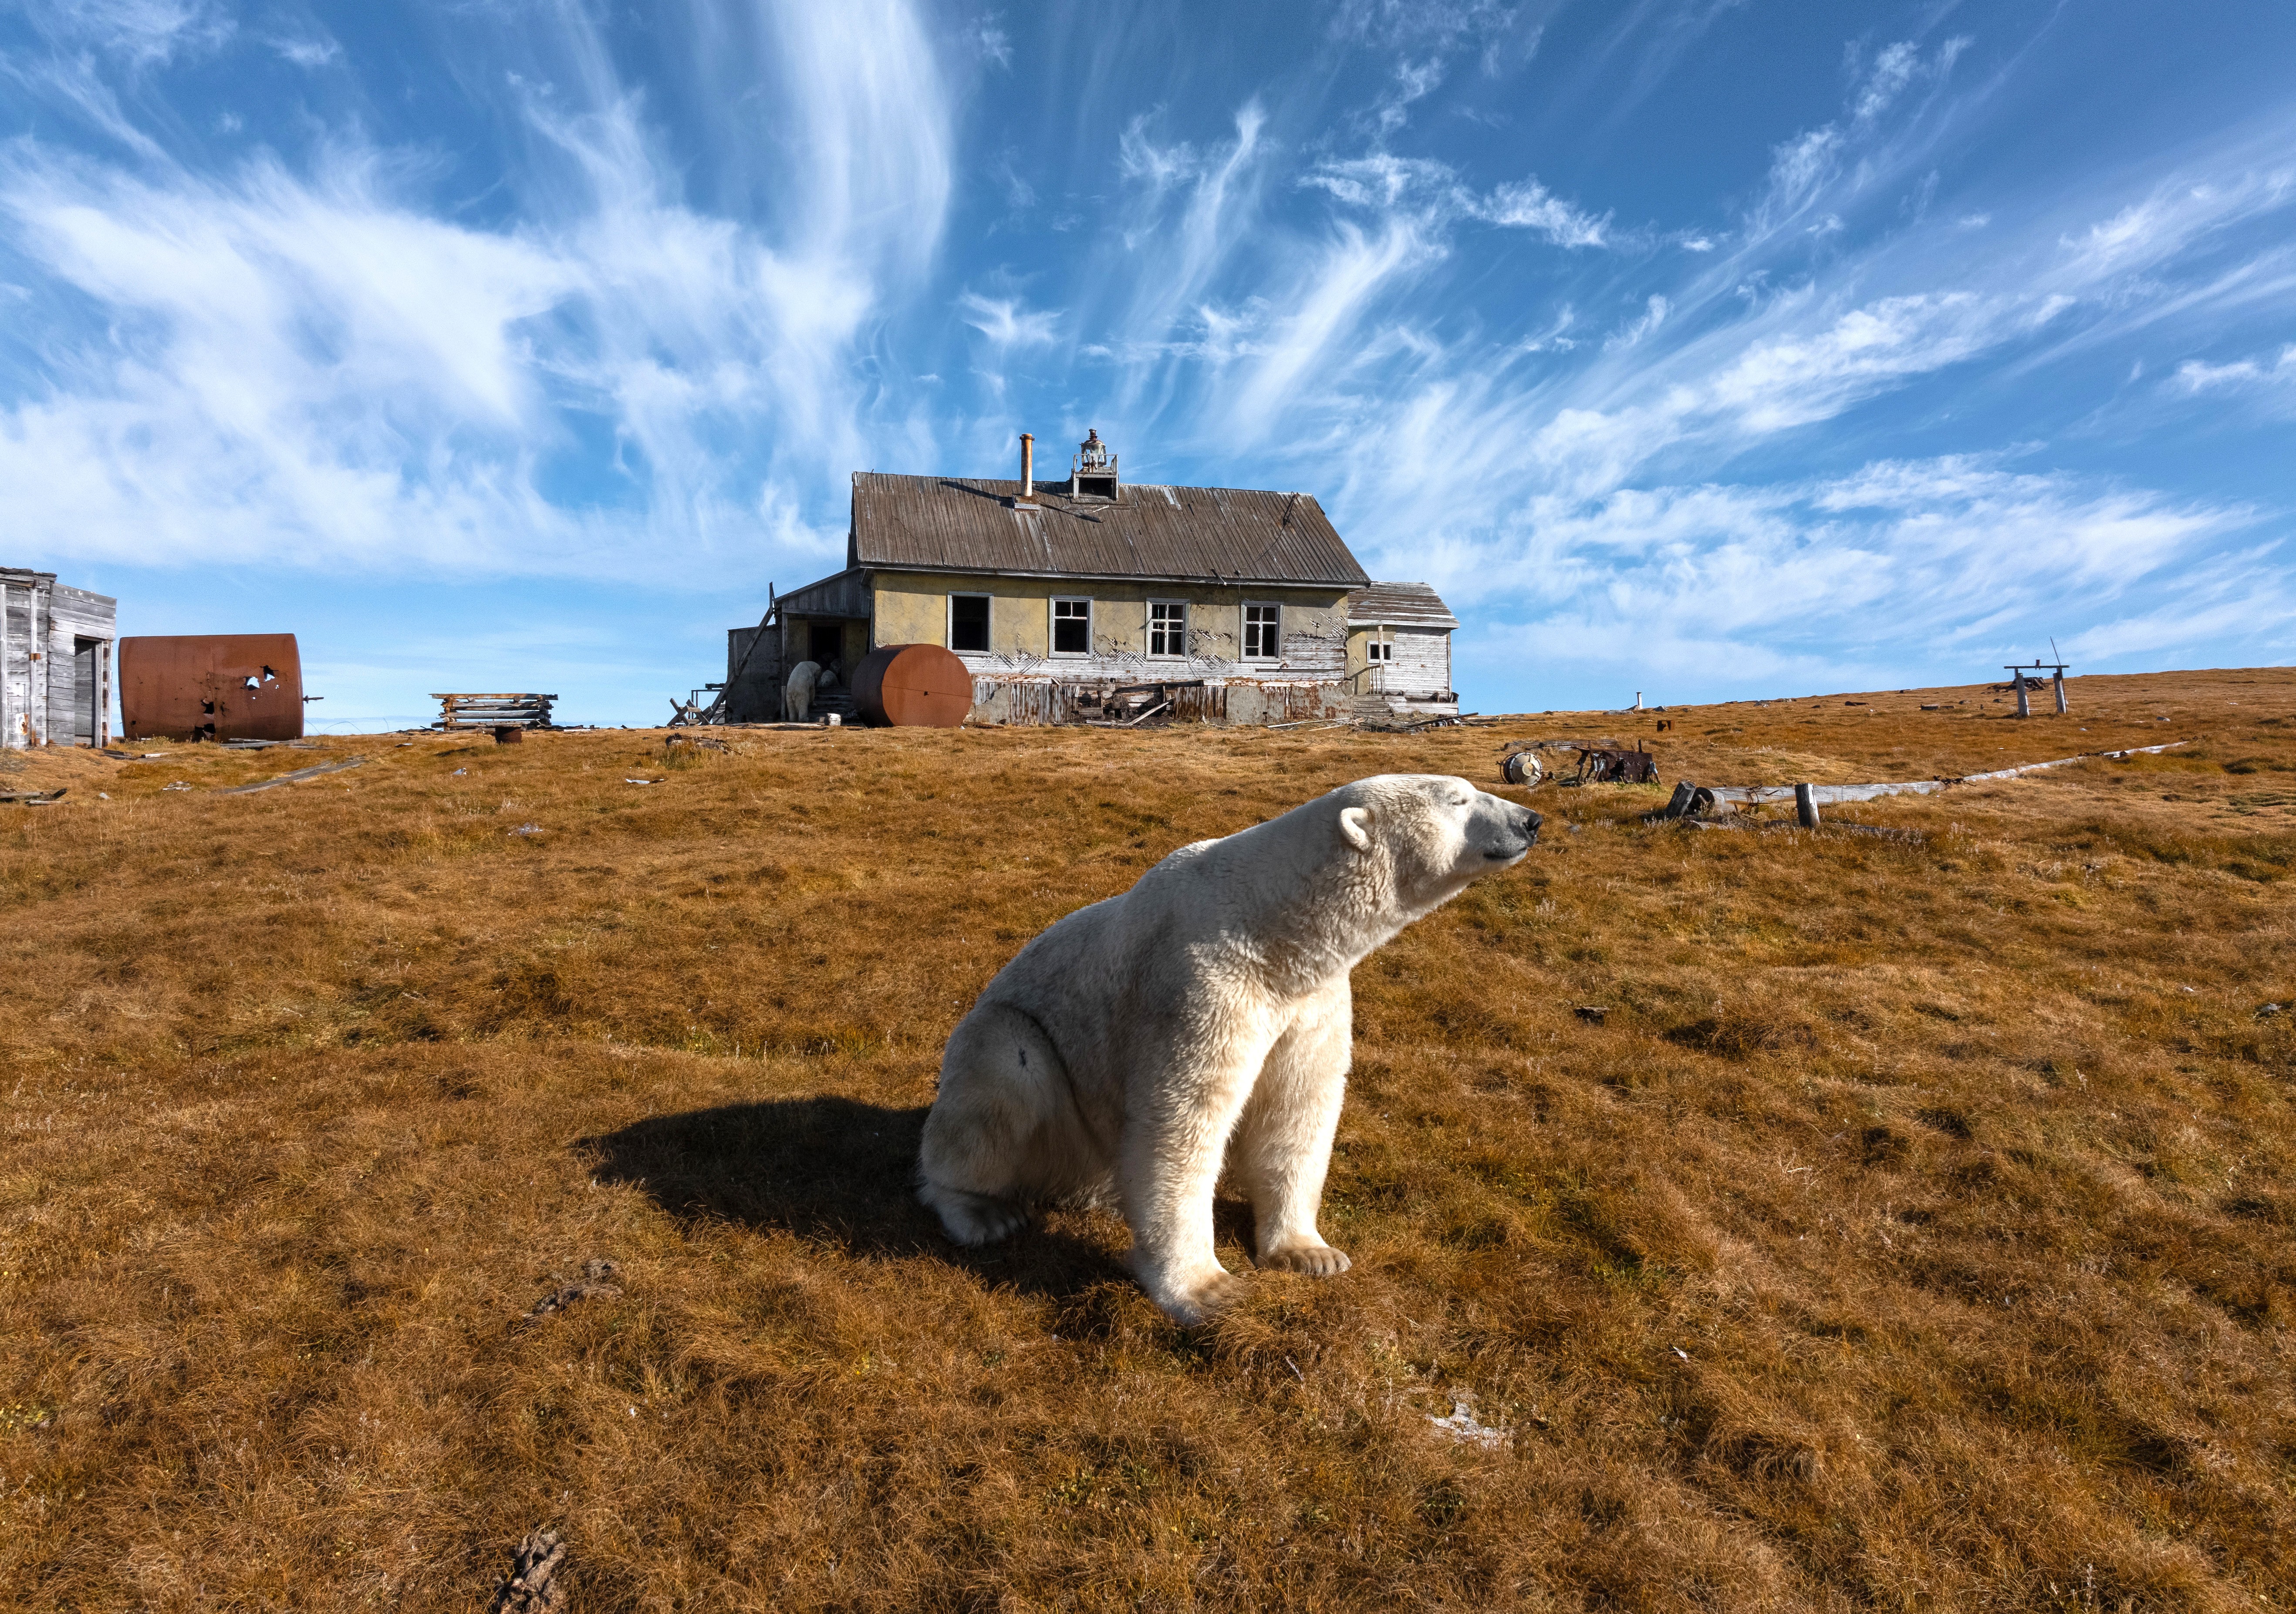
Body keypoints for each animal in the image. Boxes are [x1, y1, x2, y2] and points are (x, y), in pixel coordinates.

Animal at [917, 773, 1541, 1323]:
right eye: (1458, 798)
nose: (1531, 820)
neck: (1276, 930)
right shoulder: (1203, 983)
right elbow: (1185, 1119)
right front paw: (1208, 1288)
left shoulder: (1311, 1000)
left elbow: (1297, 1107)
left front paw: (1311, 1253)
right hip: (1023, 1066)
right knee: (1000, 1082)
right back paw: (984, 1212)